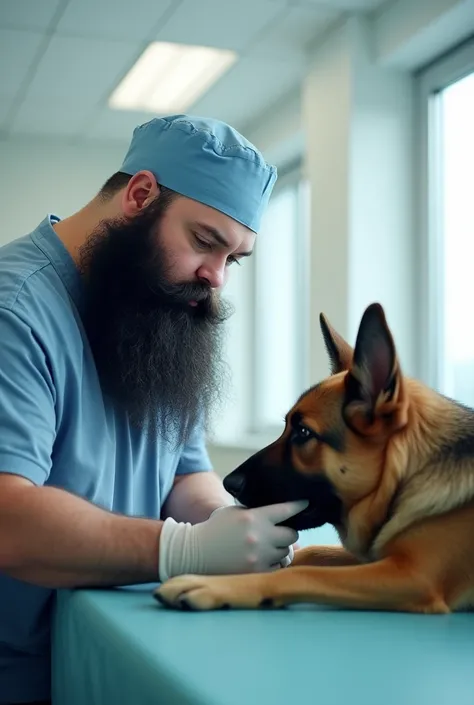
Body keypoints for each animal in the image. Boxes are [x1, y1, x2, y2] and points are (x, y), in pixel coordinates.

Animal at [155, 306, 474, 612]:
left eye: (304, 432)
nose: (228, 484)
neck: (406, 477)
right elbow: (312, 552)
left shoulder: (413, 576)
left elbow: (303, 572)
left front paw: (212, 585)